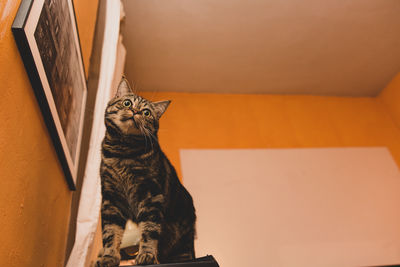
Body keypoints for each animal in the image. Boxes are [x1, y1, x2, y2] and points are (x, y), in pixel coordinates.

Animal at [94, 78, 196, 266]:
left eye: (146, 113)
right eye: (127, 103)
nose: (135, 111)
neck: (123, 152)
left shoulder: (151, 196)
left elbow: (149, 231)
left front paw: (146, 255)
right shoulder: (111, 198)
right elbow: (110, 232)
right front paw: (108, 256)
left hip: (182, 244)